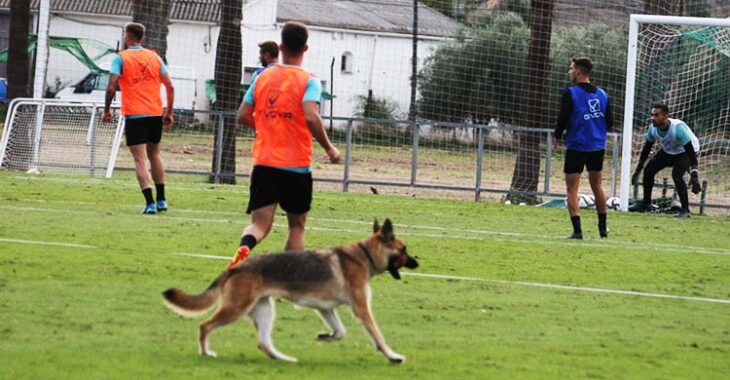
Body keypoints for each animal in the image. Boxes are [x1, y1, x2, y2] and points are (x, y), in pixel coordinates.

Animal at [162, 218, 418, 364]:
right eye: (404, 249)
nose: (417, 263)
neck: (363, 255)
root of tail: (236, 267)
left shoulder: (326, 310)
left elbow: (340, 332)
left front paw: (325, 336)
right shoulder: (361, 309)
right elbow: (378, 336)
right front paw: (393, 356)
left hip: (265, 310)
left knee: (264, 343)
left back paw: (284, 358)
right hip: (235, 308)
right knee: (204, 326)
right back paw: (206, 353)